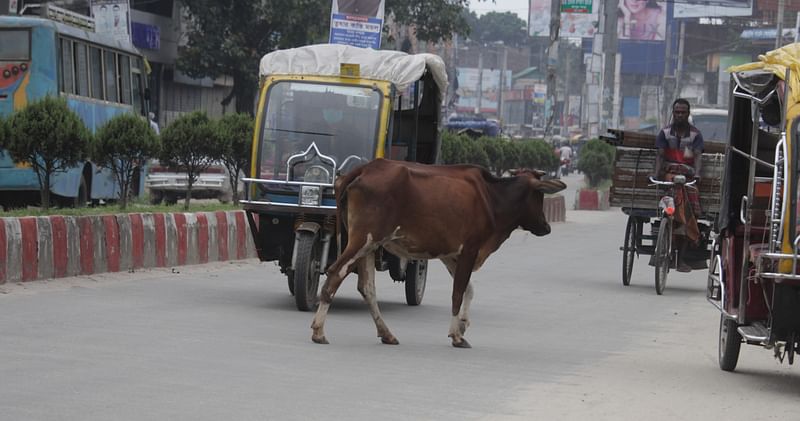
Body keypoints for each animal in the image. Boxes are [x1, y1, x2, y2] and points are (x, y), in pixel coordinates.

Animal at [310, 159, 564, 346]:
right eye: (539, 195)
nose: (546, 227)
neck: (492, 197)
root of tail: (365, 168)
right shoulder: (470, 248)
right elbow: (458, 292)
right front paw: (457, 335)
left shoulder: (450, 254)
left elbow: (469, 289)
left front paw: (463, 323)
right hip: (363, 239)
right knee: (336, 272)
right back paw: (319, 331)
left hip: (370, 246)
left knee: (367, 288)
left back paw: (387, 333)